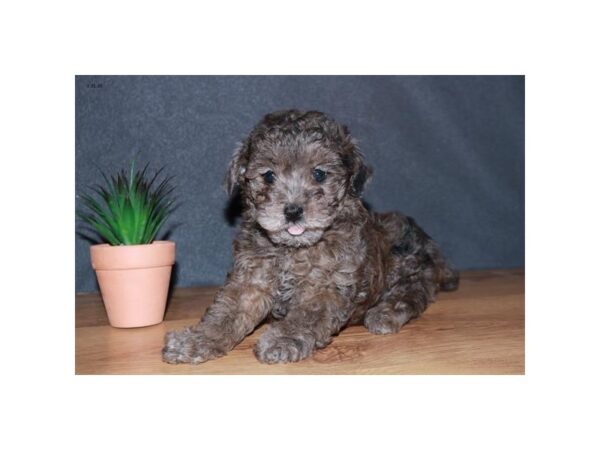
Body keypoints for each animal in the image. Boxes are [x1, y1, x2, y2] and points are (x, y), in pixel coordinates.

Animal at [162, 110, 458, 366]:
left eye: (319, 173)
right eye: (268, 176)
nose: (293, 211)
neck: (293, 250)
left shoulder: (329, 285)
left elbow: (306, 315)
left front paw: (282, 339)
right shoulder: (250, 278)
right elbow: (226, 311)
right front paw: (197, 340)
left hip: (408, 263)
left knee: (414, 292)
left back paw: (384, 313)